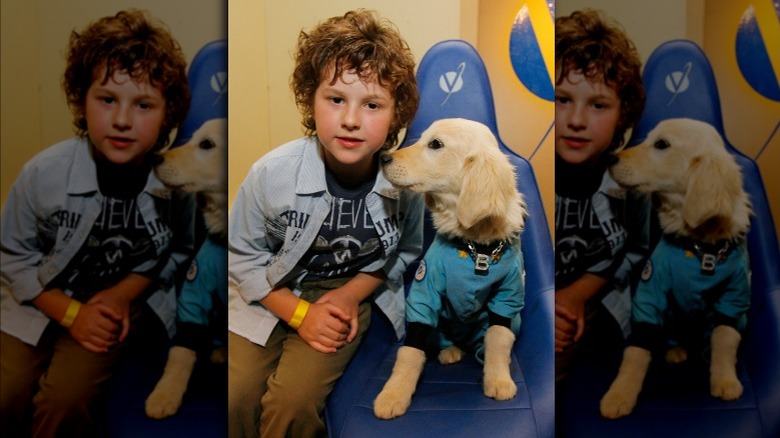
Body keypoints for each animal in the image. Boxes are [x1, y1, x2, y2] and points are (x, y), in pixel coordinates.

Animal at [374, 118, 532, 420]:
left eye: (436, 144)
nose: (382, 158)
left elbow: (498, 337)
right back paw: (450, 351)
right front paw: (394, 393)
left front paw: (498, 379)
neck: (476, 248)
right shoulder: (425, 291)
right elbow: (409, 352)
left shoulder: (508, 296)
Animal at [600, 118, 752, 420]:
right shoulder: (651, 293)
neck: (700, 249)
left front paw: (725, 379)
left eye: (661, 144)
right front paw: (620, 394)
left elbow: (725, 338)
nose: (610, 158)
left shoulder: (734, 296)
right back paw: (676, 351)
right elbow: (635, 352)